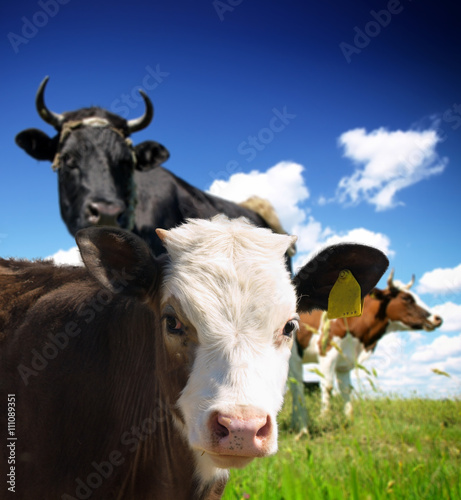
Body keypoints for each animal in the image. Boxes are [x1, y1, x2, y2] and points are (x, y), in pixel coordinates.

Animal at [298, 270, 442, 418]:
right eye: (406, 298)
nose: (438, 318)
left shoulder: (344, 362)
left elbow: (346, 390)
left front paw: (349, 417)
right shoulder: (327, 354)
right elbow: (327, 387)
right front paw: (325, 417)